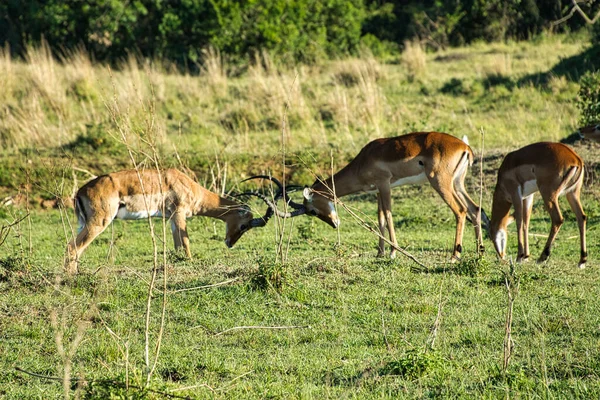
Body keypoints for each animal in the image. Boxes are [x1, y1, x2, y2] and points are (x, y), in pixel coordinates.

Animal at [63, 167, 274, 274]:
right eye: (244, 225)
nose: (230, 242)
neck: (187, 184)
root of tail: (80, 191)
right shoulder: (179, 214)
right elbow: (186, 245)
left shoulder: (171, 218)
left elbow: (178, 246)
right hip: (99, 223)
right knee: (73, 247)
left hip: (83, 224)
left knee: (74, 247)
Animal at [248, 132, 488, 260]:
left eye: (313, 210)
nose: (334, 224)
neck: (363, 160)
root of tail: (464, 146)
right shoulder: (376, 192)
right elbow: (380, 218)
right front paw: (380, 253)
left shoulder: (385, 185)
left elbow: (389, 216)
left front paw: (392, 252)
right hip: (457, 184)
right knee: (476, 209)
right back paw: (479, 252)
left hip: (440, 183)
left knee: (461, 211)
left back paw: (455, 255)